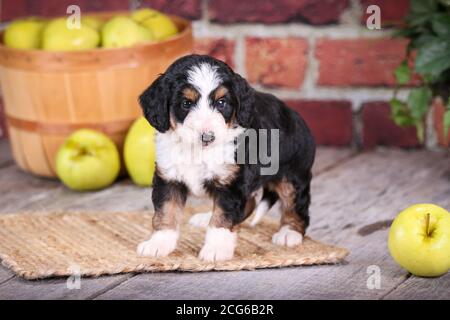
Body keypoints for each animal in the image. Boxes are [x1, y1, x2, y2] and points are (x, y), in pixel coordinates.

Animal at [137, 53, 316, 262]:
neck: (198, 151)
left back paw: (289, 233)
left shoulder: (231, 182)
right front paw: (159, 243)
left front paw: (216, 248)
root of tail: (296, 116)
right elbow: (166, 212)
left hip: (293, 174)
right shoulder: (169, 178)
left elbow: (223, 217)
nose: (207, 136)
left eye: (221, 102)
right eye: (186, 103)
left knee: (296, 204)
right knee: (250, 203)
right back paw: (205, 218)